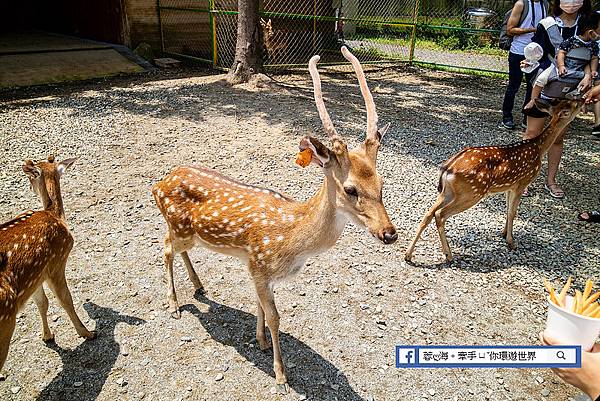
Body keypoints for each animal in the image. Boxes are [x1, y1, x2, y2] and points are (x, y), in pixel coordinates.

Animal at [0, 155, 94, 370]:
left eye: (30, 179)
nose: (29, 187)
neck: (55, 215)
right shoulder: (56, 262)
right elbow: (65, 299)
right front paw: (87, 333)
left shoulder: (36, 277)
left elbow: (43, 303)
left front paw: (47, 336)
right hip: (5, 320)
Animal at [152, 46, 396, 388]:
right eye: (350, 189)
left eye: (382, 184)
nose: (390, 233)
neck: (292, 238)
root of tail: (159, 183)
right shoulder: (260, 264)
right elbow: (275, 316)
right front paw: (280, 372)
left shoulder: (256, 268)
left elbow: (260, 306)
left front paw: (261, 341)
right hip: (178, 226)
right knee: (164, 248)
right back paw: (174, 304)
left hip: (189, 233)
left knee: (178, 249)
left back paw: (199, 286)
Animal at [406, 98, 584, 262]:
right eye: (573, 104)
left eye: (568, 100)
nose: (584, 98)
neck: (539, 149)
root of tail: (447, 168)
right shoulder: (522, 182)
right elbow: (513, 212)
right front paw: (511, 242)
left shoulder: (510, 186)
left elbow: (507, 210)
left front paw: (504, 233)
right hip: (472, 192)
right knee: (440, 214)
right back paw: (448, 255)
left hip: (448, 191)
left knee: (428, 213)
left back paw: (408, 254)